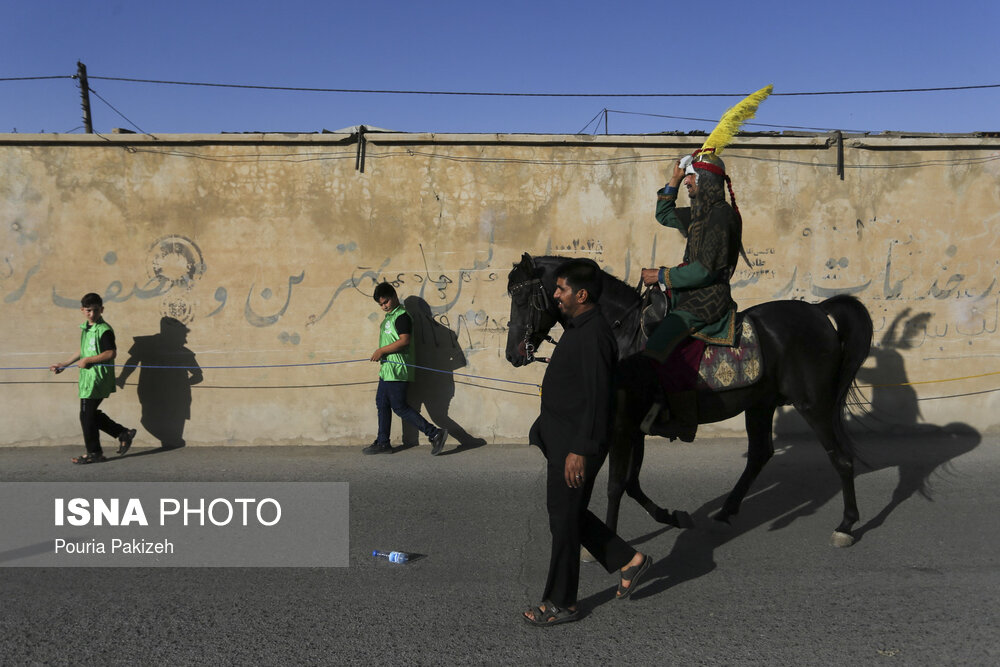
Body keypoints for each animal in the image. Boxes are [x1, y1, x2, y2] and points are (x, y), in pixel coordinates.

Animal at [504, 254, 872, 548]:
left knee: (841, 459)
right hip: (760, 404)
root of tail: (818, 312)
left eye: (521, 296)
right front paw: (671, 516)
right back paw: (726, 512)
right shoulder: (635, 428)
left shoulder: (622, 426)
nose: (512, 354)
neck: (620, 332)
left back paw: (846, 525)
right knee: (760, 454)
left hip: (814, 404)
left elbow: (615, 485)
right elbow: (632, 483)